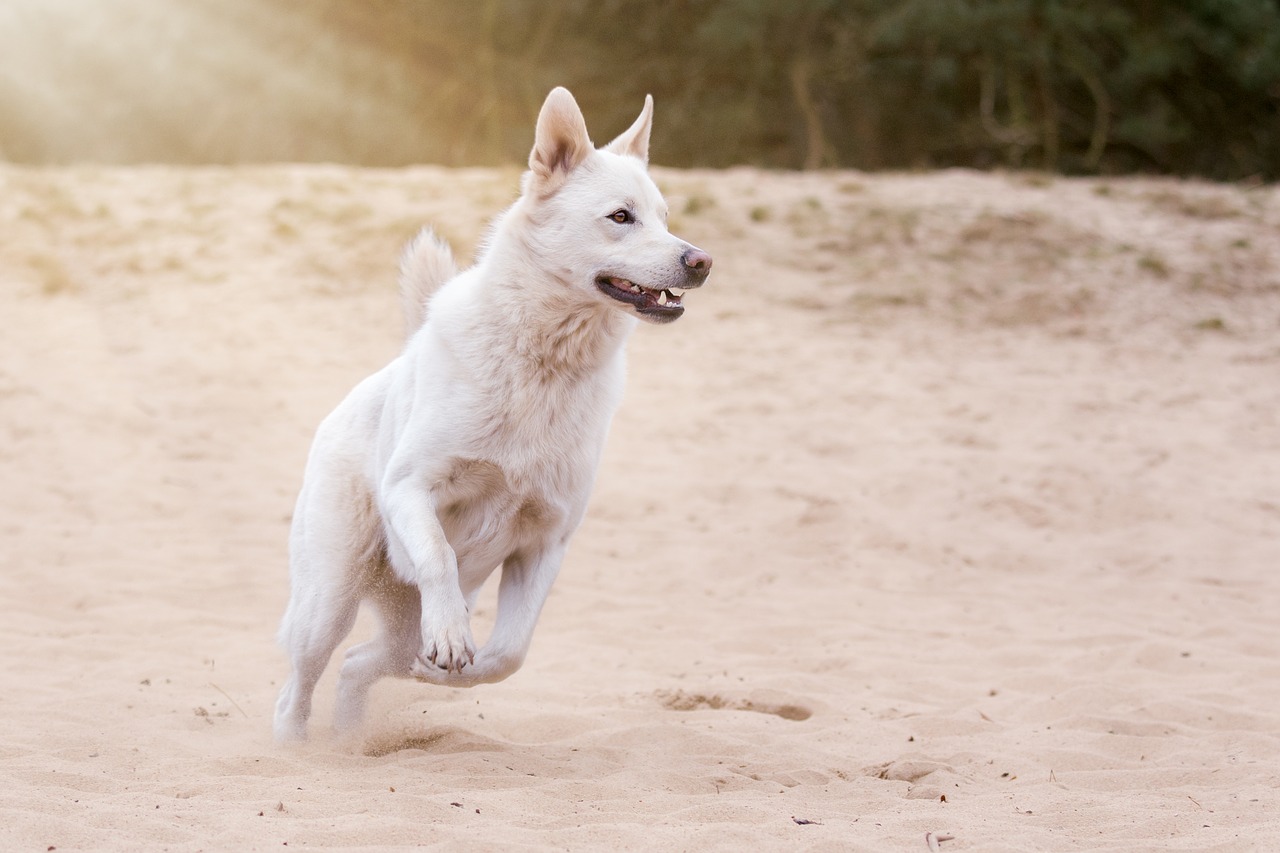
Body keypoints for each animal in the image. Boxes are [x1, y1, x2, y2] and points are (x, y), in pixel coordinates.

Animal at [275, 87, 711, 737]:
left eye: (662, 216)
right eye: (620, 217)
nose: (701, 261)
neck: (543, 365)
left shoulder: (547, 540)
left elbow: (510, 654)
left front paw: (454, 669)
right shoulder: (411, 488)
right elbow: (437, 557)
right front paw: (453, 641)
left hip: (401, 624)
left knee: (359, 664)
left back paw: (353, 738)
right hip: (328, 599)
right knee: (300, 683)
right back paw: (292, 746)